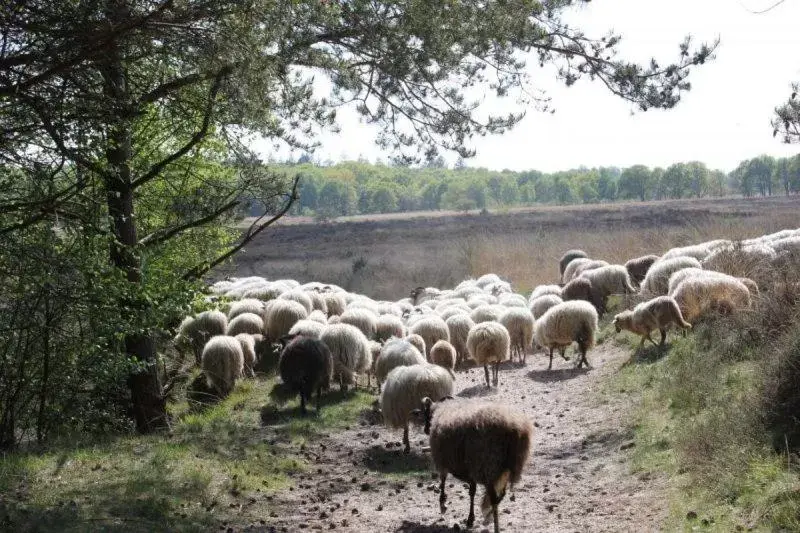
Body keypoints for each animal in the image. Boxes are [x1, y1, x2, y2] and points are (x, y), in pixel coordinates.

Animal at [418, 394, 532, 532]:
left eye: (427, 414)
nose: (425, 429)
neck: (441, 410)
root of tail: (513, 430)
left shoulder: (442, 460)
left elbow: (443, 480)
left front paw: (442, 503)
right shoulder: (470, 467)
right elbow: (472, 490)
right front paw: (471, 519)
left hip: (488, 466)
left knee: (494, 497)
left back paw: (495, 526)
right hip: (507, 468)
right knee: (501, 495)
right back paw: (488, 516)